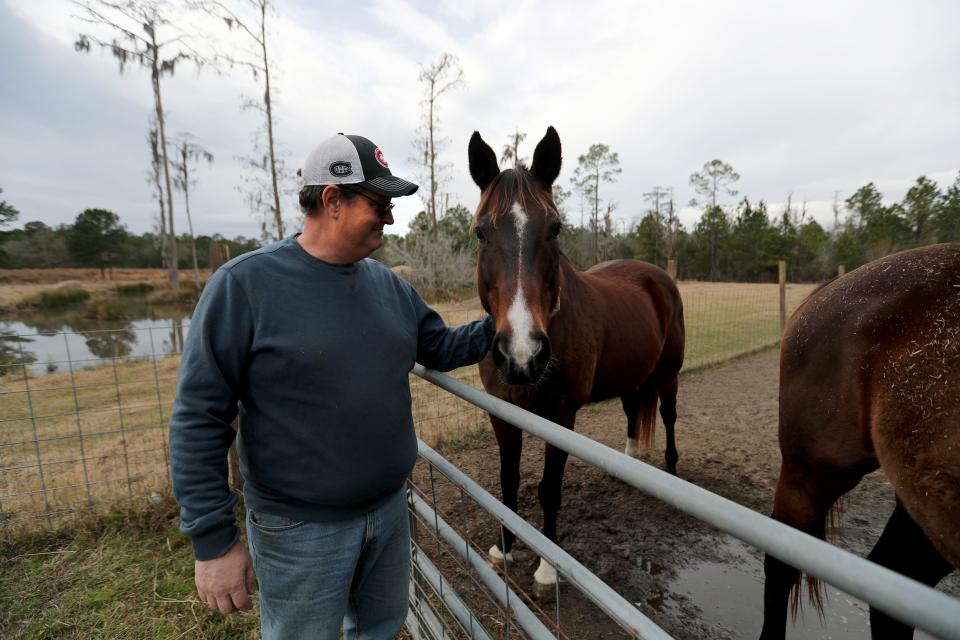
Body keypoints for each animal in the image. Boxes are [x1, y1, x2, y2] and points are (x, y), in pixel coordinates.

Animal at [468, 127, 688, 592]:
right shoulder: (502, 413)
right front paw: (504, 547)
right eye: (480, 232)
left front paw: (548, 568)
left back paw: (671, 474)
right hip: (630, 376)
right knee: (632, 412)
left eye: (555, 228)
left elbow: (549, 489)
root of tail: (657, 275)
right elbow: (509, 482)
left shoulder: (561, 415)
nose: (523, 353)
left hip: (669, 375)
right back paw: (628, 464)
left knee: (669, 415)